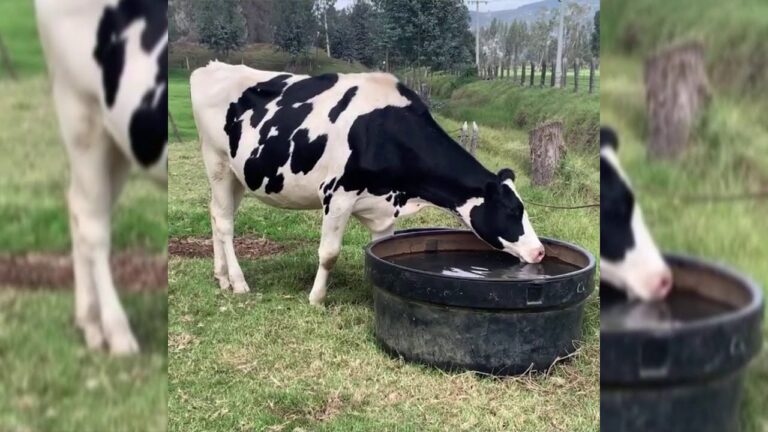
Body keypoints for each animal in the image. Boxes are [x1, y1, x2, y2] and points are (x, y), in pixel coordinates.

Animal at [35, 0, 167, 354]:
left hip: (119, 139)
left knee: (78, 208)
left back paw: (90, 322)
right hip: (81, 114)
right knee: (93, 225)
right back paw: (118, 333)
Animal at [190, 62, 545, 305]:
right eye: (512, 211)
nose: (540, 252)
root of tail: (211, 67)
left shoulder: (385, 208)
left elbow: (381, 251)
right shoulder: (337, 194)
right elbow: (329, 253)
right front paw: (316, 299)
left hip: (238, 175)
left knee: (216, 215)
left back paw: (221, 277)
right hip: (217, 164)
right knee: (225, 223)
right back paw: (238, 283)